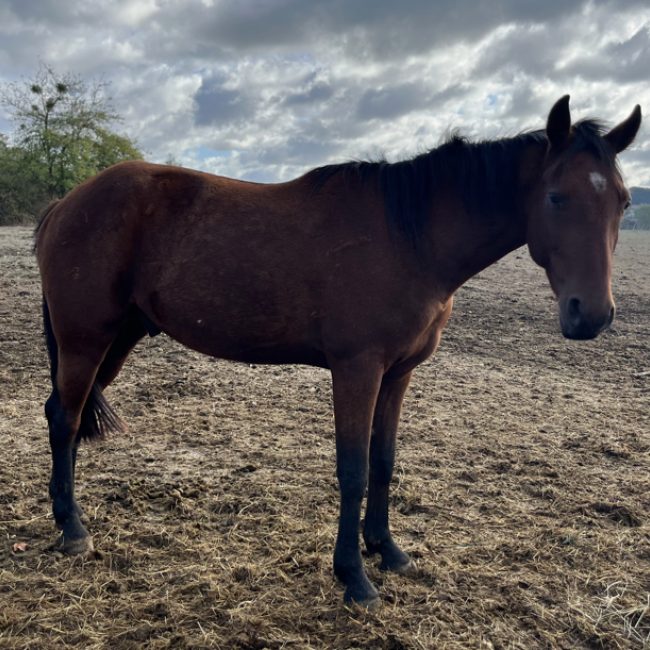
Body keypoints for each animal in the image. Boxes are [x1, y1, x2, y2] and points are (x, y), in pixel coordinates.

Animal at [35, 96, 641, 606]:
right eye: (556, 197)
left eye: (623, 202)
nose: (591, 315)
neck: (410, 239)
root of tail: (67, 202)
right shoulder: (357, 371)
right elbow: (352, 469)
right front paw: (353, 575)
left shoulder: (398, 375)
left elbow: (383, 461)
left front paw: (386, 549)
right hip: (86, 339)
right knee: (65, 419)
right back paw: (72, 527)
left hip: (118, 338)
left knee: (66, 414)